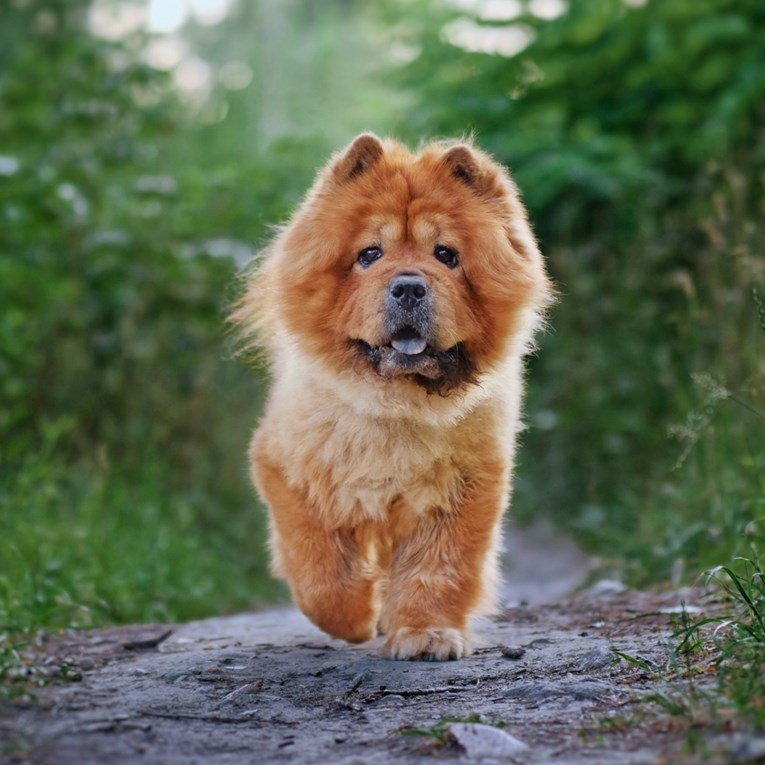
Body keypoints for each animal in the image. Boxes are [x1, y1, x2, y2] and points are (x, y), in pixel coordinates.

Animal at [230, 134, 552, 660]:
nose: (408, 287)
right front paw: (355, 618)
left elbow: (438, 568)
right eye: (369, 254)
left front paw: (425, 635)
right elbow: (319, 570)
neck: (397, 404)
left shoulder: (462, 488)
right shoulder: (288, 468)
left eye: (446, 255)